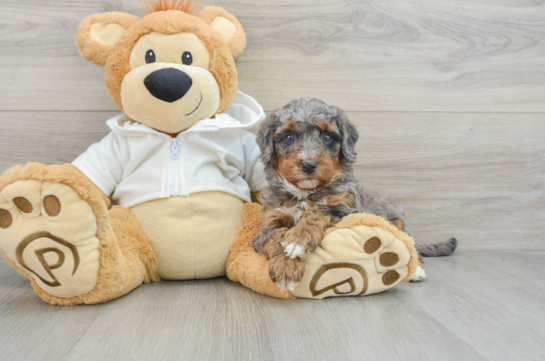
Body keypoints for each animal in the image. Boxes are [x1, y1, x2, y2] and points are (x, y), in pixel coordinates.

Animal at [251, 97, 454, 290]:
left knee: (411, 245)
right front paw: (286, 268)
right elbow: (277, 236)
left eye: (327, 136)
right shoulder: (268, 223)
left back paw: (417, 269)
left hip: (400, 222)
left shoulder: (349, 210)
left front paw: (297, 240)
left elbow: (319, 210)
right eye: (288, 136)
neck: (306, 194)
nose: (308, 165)